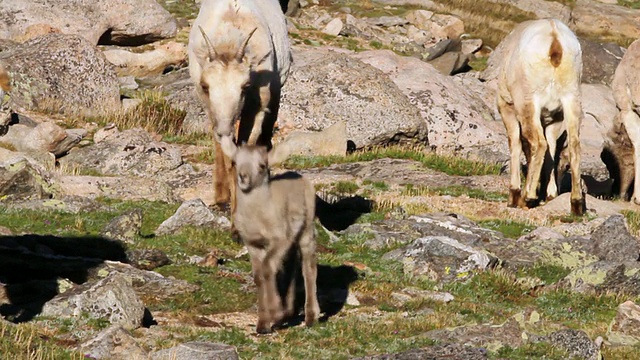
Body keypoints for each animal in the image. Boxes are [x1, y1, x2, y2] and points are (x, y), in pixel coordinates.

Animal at [188, 0, 292, 211]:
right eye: (205, 86)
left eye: (245, 86)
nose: (224, 130)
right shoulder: (212, 109)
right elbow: (226, 154)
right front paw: (227, 200)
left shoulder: (258, 106)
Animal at [220, 136, 320, 334]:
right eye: (235, 162)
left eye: (261, 165)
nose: (243, 177)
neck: (258, 216)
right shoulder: (252, 244)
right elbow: (259, 276)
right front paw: (264, 323)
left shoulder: (280, 239)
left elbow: (267, 269)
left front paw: (275, 313)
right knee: (291, 267)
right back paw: (288, 312)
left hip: (306, 231)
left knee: (308, 268)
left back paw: (311, 317)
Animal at [498, 19, 588, 214]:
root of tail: (554, 40)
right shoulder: (554, 120)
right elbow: (551, 153)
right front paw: (550, 195)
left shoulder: (507, 109)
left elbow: (516, 144)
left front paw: (514, 196)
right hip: (571, 101)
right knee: (574, 145)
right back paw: (576, 204)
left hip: (529, 104)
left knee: (539, 144)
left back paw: (527, 198)